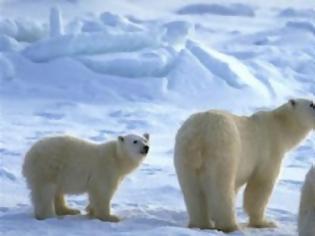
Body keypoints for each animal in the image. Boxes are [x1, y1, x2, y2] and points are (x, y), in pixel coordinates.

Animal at [22, 134, 151, 220]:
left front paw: (91, 211)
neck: (117, 157)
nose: (146, 147)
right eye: (135, 141)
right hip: (47, 168)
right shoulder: (105, 169)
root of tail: (28, 156)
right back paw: (49, 216)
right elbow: (103, 191)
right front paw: (110, 217)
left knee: (57, 192)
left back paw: (69, 210)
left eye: (145, 140)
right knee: (45, 192)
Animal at [175, 98, 315, 232]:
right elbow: (260, 186)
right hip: (223, 151)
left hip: (184, 157)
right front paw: (265, 222)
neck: (279, 127)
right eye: (312, 104)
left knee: (192, 192)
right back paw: (231, 225)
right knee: (222, 189)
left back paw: (201, 224)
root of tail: (199, 135)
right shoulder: (268, 151)